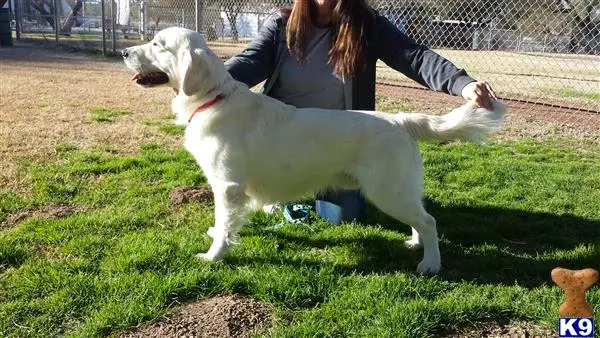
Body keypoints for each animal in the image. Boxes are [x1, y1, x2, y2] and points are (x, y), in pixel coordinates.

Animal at [122, 27, 506, 274]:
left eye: (157, 44)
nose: (125, 52)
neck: (212, 99)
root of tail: (399, 120)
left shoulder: (228, 187)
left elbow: (225, 221)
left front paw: (214, 255)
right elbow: (225, 223)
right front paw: (219, 236)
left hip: (388, 190)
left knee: (429, 222)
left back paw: (430, 263)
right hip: (399, 190)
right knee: (421, 219)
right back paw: (415, 245)